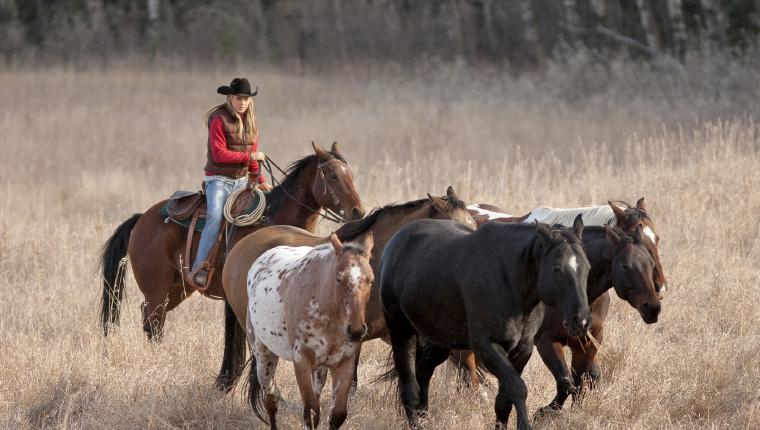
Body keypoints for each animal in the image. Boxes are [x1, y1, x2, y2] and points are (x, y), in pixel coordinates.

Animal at [98, 143, 366, 340]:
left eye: (351, 174)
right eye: (332, 175)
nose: (358, 211)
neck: (275, 220)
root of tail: (142, 218)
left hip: (176, 289)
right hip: (156, 288)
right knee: (153, 322)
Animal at [248, 233, 376, 430]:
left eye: (371, 280)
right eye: (339, 278)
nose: (355, 331)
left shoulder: (345, 363)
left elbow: (336, 414)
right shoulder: (301, 361)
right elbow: (310, 410)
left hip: (319, 370)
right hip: (264, 356)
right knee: (270, 399)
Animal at [382, 218, 592, 430]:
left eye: (587, 268)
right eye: (557, 268)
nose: (581, 320)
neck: (508, 280)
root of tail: (397, 241)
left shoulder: (522, 351)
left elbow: (504, 401)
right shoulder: (487, 347)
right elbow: (518, 388)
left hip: (439, 340)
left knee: (423, 372)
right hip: (401, 332)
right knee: (409, 386)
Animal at [536, 225, 660, 414]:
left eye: (651, 264)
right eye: (625, 266)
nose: (653, 308)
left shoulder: (588, 341)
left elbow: (579, 382)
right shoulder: (546, 341)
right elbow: (566, 382)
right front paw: (544, 412)